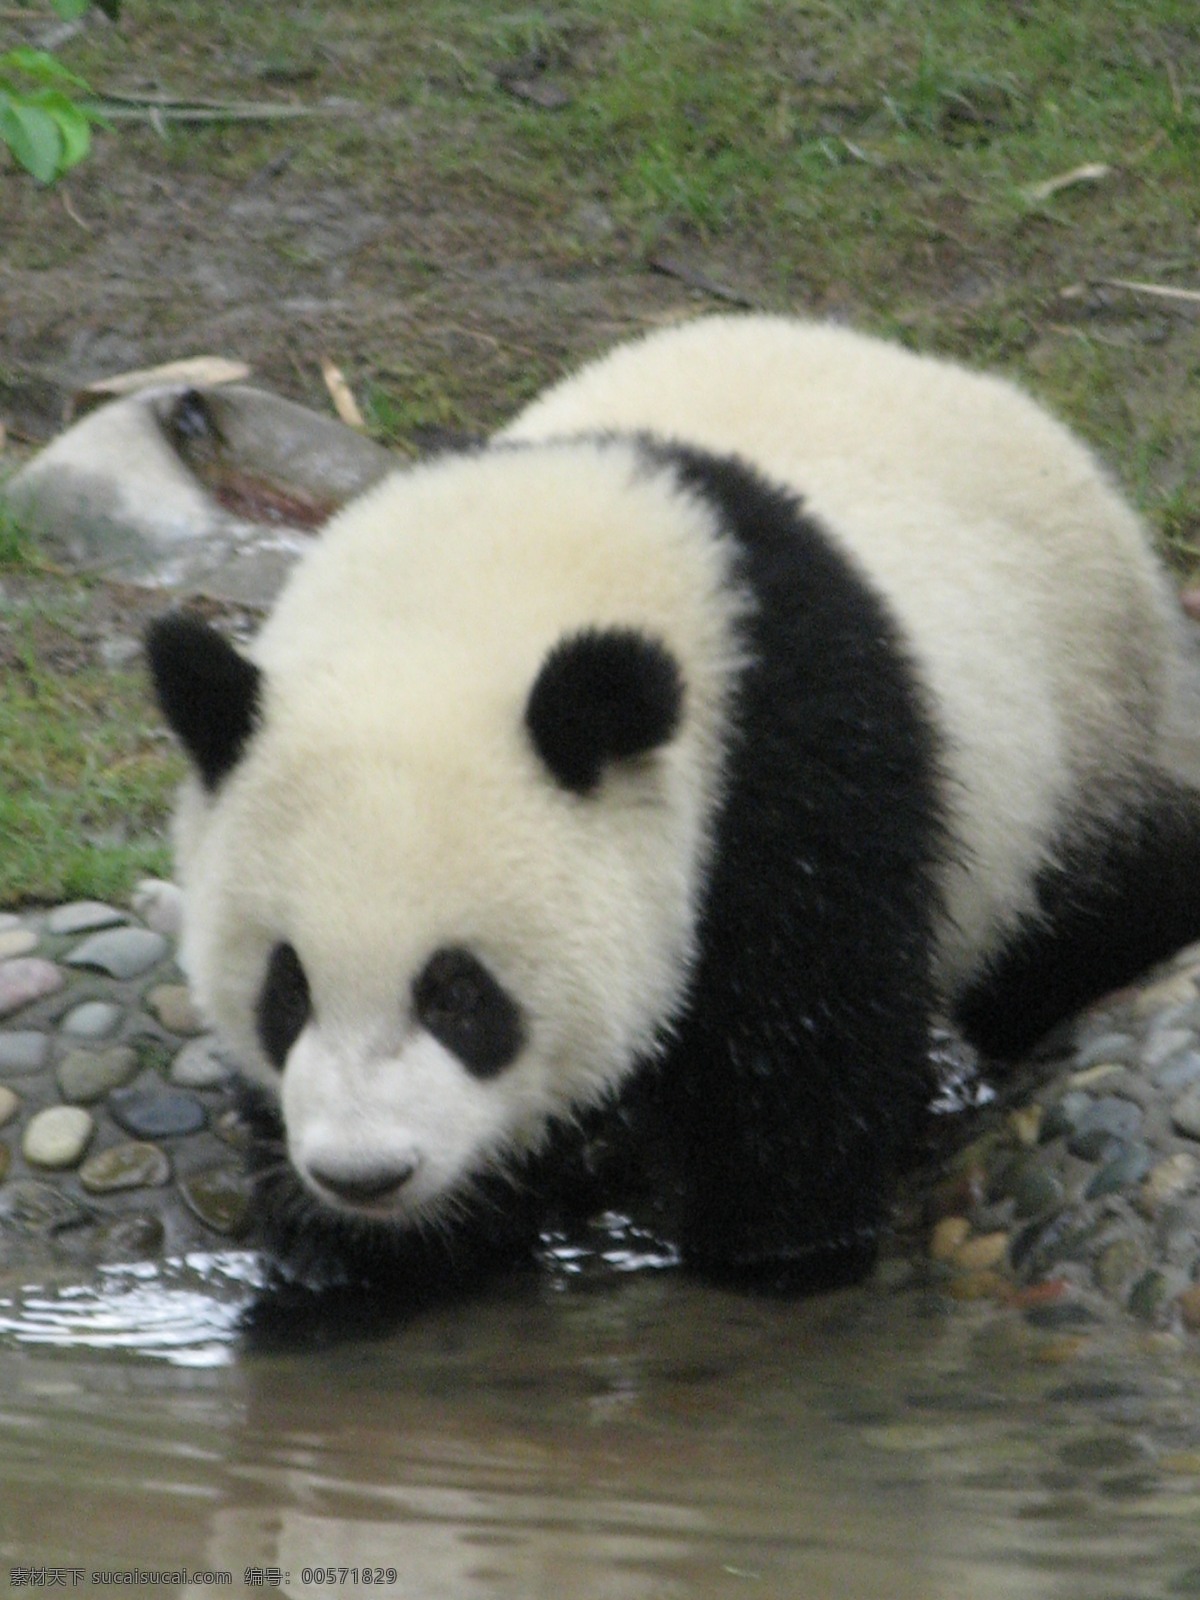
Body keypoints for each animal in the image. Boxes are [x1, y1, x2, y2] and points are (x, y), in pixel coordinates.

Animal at [148, 315, 1200, 1299]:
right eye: (286, 987)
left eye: (460, 994)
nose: (365, 1174)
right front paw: (357, 1257)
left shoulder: (785, 764)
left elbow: (800, 1049)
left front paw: (775, 1245)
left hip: (1076, 723)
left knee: (1088, 909)